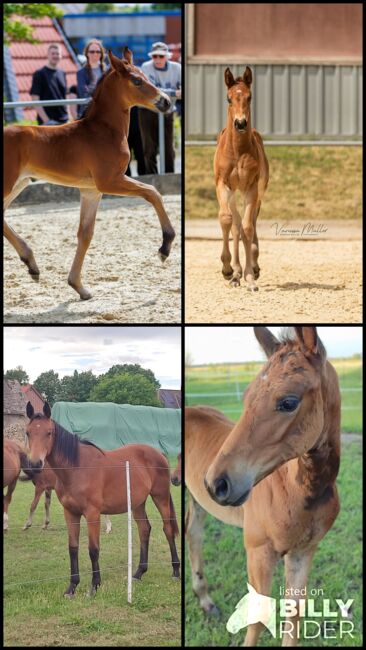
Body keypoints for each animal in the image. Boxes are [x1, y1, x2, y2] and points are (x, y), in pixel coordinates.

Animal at [3, 48, 176, 302]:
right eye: (137, 80)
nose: (166, 101)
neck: (103, 131)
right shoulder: (110, 181)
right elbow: (153, 192)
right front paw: (165, 247)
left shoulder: (91, 191)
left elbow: (85, 234)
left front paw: (79, 287)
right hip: (9, 184)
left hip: (19, 184)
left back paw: (32, 265)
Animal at [25, 400, 180, 596]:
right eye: (28, 433)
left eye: (49, 432)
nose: (35, 464)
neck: (76, 469)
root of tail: (159, 453)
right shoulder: (70, 513)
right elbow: (73, 548)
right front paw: (72, 587)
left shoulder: (92, 514)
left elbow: (93, 549)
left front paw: (94, 586)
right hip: (138, 503)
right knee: (144, 529)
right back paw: (138, 573)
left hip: (160, 497)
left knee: (168, 529)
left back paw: (175, 571)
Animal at [187, 326, 342, 644]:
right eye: (247, 396)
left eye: (289, 402)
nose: (217, 482)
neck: (300, 493)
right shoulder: (258, 550)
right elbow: (258, 614)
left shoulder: (303, 551)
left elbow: (294, 613)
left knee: (193, 535)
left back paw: (205, 601)